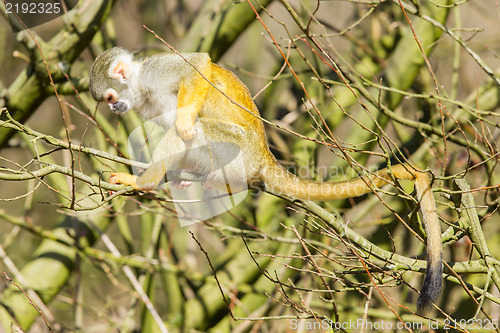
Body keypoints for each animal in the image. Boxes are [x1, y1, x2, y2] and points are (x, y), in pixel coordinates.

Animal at [89, 46, 442, 312]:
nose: (115, 110)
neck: (140, 88)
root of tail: (262, 154)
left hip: (239, 150)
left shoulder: (154, 72)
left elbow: (198, 66)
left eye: (110, 98)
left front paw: (177, 134)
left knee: (193, 127)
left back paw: (151, 180)